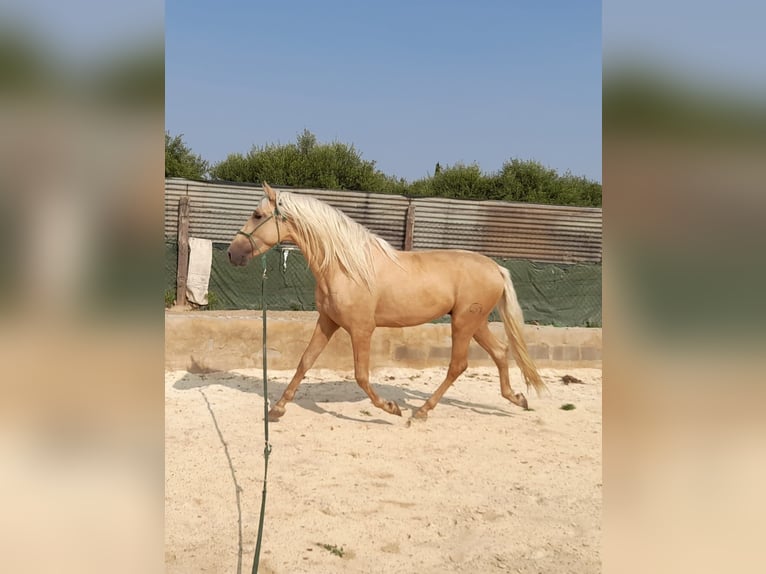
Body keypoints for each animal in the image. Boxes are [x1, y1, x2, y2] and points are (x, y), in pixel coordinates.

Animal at [228, 184, 544, 424]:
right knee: (501, 352)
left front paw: (391, 408)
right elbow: (305, 362)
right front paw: (277, 409)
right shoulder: (327, 322)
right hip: (474, 323)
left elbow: (361, 375)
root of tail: (496, 268)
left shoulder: (361, 329)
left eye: (257, 215)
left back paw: (421, 412)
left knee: (458, 365)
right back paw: (517, 398)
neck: (345, 267)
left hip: (464, 323)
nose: (232, 254)